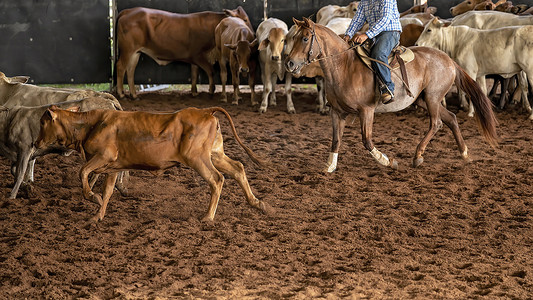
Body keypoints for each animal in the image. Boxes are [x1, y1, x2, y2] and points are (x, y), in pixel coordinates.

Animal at [33, 106, 270, 221]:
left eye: (43, 122)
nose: (35, 142)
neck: (91, 125)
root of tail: (205, 111)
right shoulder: (113, 168)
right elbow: (107, 191)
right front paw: (96, 216)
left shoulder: (104, 157)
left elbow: (82, 172)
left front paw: (92, 197)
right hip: (215, 154)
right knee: (238, 168)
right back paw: (257, 203)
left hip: (198, 158)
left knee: (217, 179)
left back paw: (208, 217)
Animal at [115, 6, 252, 99]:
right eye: (245, 19)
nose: (252, 33)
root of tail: (128, 11)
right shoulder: (198, 56)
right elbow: (210, 71)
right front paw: (211, 90)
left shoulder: (194, 59)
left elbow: (194, 74)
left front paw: (194, 92)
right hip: (127, 50)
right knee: (121, 67)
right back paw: (121, 94)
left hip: (135, 52)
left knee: (130, 69)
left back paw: (133, 95)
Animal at [284, 18, 496, 172]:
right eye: (292, 38)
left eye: (304, 38)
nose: (290, 63)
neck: (344, 67)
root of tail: (449, 59)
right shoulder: (336, 112)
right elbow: (336, 140)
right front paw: (329, 166)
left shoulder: (366, 110)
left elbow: (367, 140)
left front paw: (389, 161)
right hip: (423, 100)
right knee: (451, 118)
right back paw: (464, 153)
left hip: (433, 97)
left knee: (436, 123)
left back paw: (418, 156)